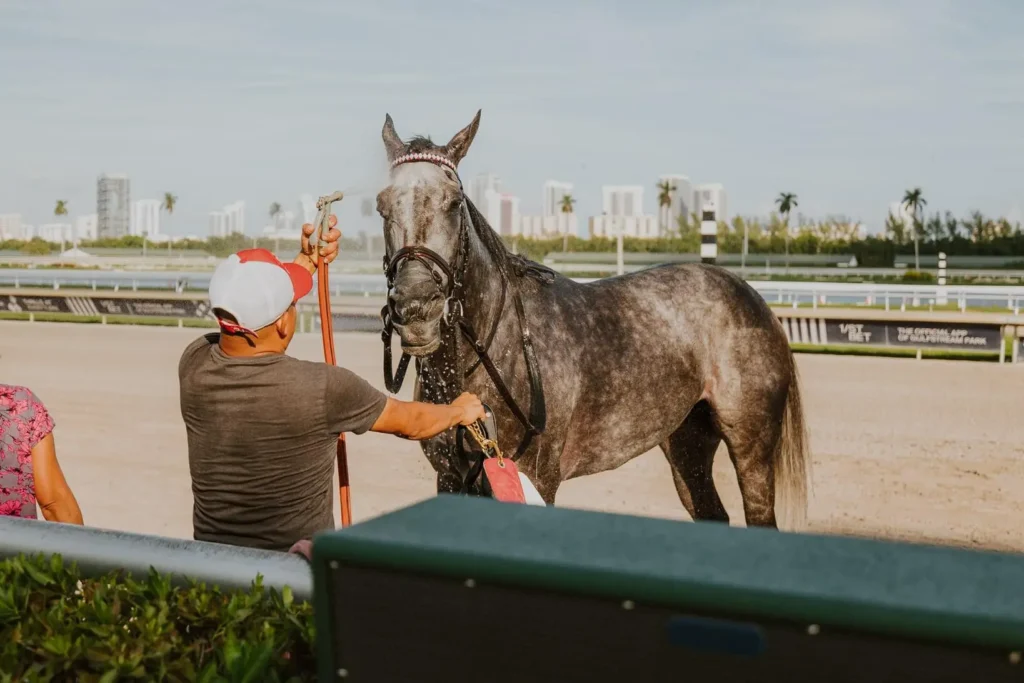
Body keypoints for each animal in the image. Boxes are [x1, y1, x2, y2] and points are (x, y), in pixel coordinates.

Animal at [375, 110, 810, 529]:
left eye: (454, 202)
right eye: (382, 205)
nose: (416, 307)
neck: (495, 352)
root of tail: (750, 295)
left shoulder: (537, 477)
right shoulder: (451, 477)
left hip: (751, 446)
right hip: (687, 444)